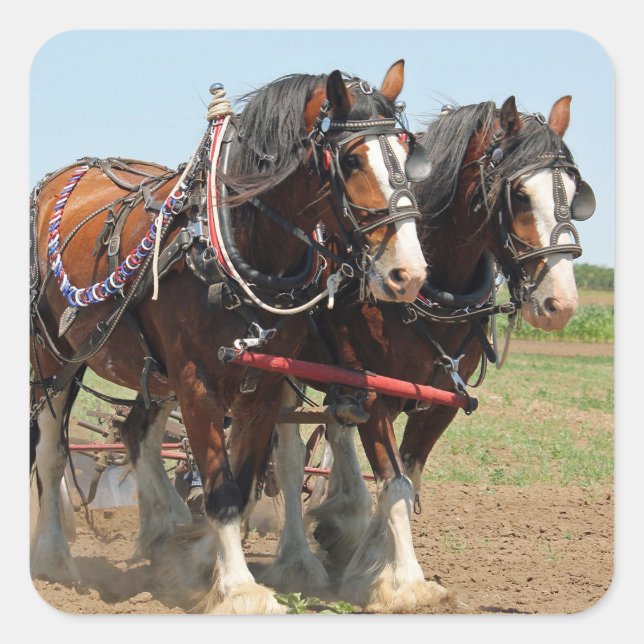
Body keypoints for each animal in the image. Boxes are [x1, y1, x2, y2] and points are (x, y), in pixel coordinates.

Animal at [28, 60, 430, 614]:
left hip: (151, 373)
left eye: (408, 153)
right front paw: (240, 590)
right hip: (53, 357)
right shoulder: (196, 382)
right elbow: (220, 492)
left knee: (137, 435)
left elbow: (241, 486)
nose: (408, 274)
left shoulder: (262, 385)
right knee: (50, 451)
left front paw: (200, 567)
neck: (232, 244)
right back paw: (54, 558)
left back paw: (164, 535)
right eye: (350, 160)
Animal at [270, 94, 595, 611]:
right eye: (520, 195)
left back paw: (342, 522)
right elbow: (396, 483)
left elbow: (408, 478)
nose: (559, 304)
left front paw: (370, 560)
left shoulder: (440, 400)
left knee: (335, 431)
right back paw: (297, 562)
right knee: (285, 459)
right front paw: (405, 581)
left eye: (573, 190)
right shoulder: (375, 393)